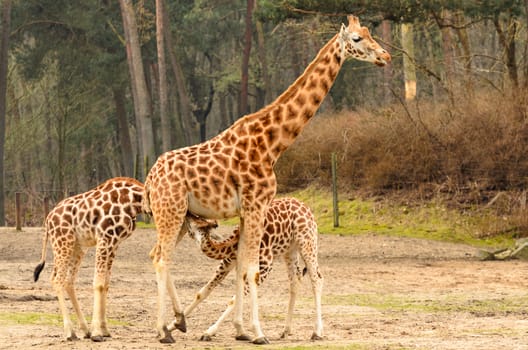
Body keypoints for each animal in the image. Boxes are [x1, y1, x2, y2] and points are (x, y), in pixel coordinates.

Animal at [34, 176, 143, 340]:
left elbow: (106, 284)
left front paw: (104, 330)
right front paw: (98, 332)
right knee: (57, 279)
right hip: (63, 242)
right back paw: (70, 332)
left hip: (77, 247)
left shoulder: (115, 243)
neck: (133, 200)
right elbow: (98, 283)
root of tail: (48, 220)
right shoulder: (105, 238)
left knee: (68, 281)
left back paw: (85, 330)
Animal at [179, 198, 324, 340]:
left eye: (198, 220)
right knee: (295, 281)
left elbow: (234, 299)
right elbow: (203, 292)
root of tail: (306, 208)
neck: (234, 244)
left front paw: (210, 331)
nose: (188, 214)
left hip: (307, 243)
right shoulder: (229, 261)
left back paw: (317, 332)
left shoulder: (266, 264)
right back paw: (285, 331)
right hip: (290, 250)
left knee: (317, 279)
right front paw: (176, 324)